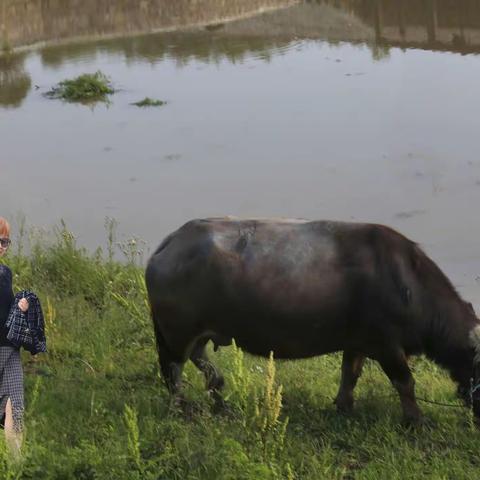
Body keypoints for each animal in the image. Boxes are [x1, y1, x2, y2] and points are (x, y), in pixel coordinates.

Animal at [145, 218, 480, 424]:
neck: (406, 285)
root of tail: (169, 243)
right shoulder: (386, 346)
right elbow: (405, 383)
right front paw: (416, 420)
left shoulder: (357, 342)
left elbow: (350, 374)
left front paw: (344, 406)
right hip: (176, 334)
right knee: (172, 371)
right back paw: (182, 408)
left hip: (199, 333)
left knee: (201, 363)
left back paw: (220, 399)